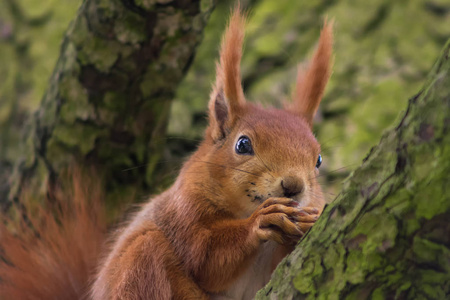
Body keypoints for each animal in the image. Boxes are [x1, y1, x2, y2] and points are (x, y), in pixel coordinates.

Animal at [0, 7, 330, 300]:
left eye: (318, 160)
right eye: (242, 145)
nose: (293, 186)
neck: (241, 208)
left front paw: (309, 221)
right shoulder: (183, 210)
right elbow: (205, 257)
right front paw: (262, 221)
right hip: (139, 263)